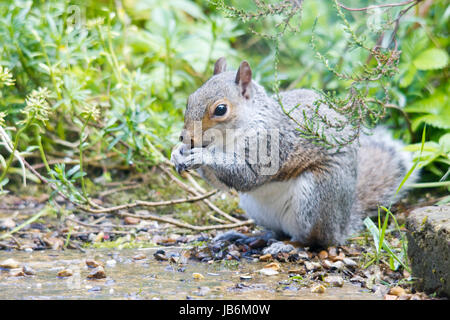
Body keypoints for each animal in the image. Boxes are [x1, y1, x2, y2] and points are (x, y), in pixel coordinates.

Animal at [171, 57, 416, 248]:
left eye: (221, 109)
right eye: (190, 99)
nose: (186, 138)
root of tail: (341, 226)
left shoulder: (272, 144)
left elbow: (248, 176)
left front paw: (202, 156)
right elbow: (221, 184)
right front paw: (178, 153)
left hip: (317, 196)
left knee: (313, 241)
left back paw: (290, 246)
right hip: (257, 208)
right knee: (278, 232)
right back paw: (251, 237)